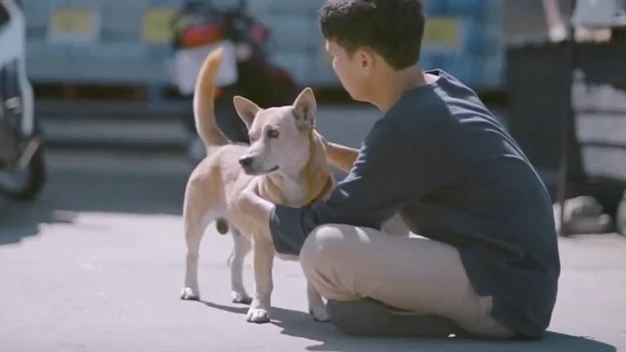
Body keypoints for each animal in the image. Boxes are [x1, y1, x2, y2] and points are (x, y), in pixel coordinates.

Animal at [179, 48, 332, 324]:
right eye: (251, 137)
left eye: (273, 134)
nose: (244, 161)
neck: (292, 188)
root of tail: (221, 147)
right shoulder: (262, 244)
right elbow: (264, 282)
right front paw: (260, 309)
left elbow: (313, 285)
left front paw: (319, 310)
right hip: (196, 224)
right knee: (192, 255)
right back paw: (190, 288)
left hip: (243, 235)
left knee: (233, 260)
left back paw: (239, 292)